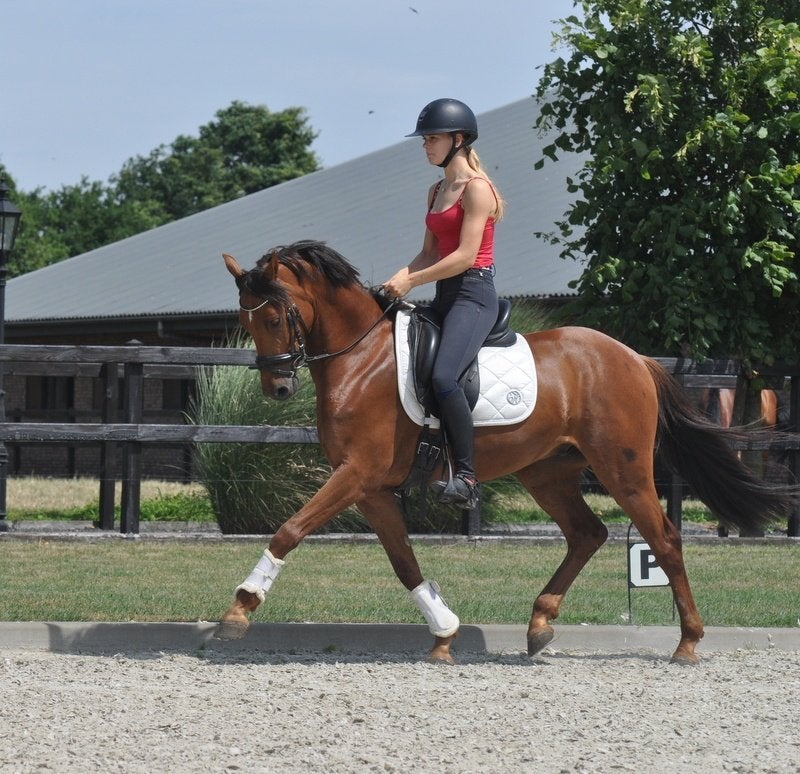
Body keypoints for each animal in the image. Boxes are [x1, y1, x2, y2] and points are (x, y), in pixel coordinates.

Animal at [216, 240, 797, 664]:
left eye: (274, 318)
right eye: (245, 321)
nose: (277, 390)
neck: (361, 357)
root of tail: (634, 357)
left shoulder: (356, 473)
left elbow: (290, 529)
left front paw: (239, 610)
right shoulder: (371, 487)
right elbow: (404, 563)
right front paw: (444, 633)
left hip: (623, 469)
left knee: (664, 539)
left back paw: (687, 642)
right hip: (548, 472)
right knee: (588, 534)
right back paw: (540, 625)